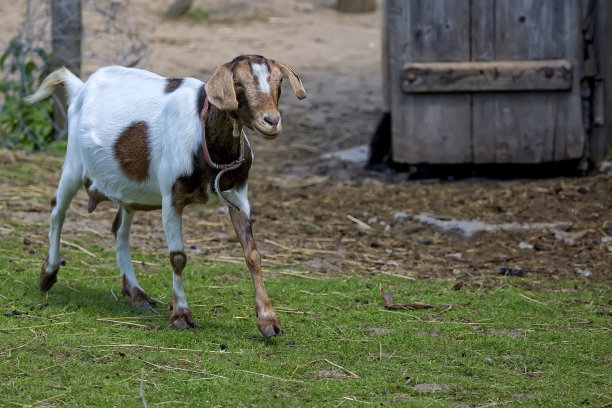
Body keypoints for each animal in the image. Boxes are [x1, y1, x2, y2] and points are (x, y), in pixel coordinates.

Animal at [26, 55, 306, 338]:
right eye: (238, 84)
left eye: (279, 82)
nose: (271, 121)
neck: (203, 137)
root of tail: (81, 86)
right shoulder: (171, 197)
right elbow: (178, 257)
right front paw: (181, 315)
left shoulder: (238, 196)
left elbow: (253, 254)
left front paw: (269, 322)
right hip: (73, 160)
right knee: (57, 211)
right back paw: (48, 274)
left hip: (127, 190)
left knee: (119, 230)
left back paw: (136, 294)